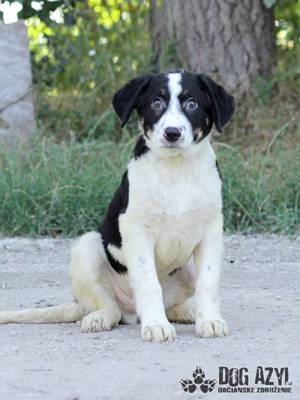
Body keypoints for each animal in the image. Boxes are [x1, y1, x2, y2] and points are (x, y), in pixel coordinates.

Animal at [0, 70, 234, 342]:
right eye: (156, 103)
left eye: (192, 104)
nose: (172, 133)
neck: (176, 169)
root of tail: (133, 312)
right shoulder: (137, 228)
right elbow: (148, 282)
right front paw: (156, 325)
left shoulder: (211, 231)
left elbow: (208, 281)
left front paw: (210, 321)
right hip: (87, 248)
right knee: (109, 307)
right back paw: (104, 317)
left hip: (186, 268)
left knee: (171, 304)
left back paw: (189, 312)